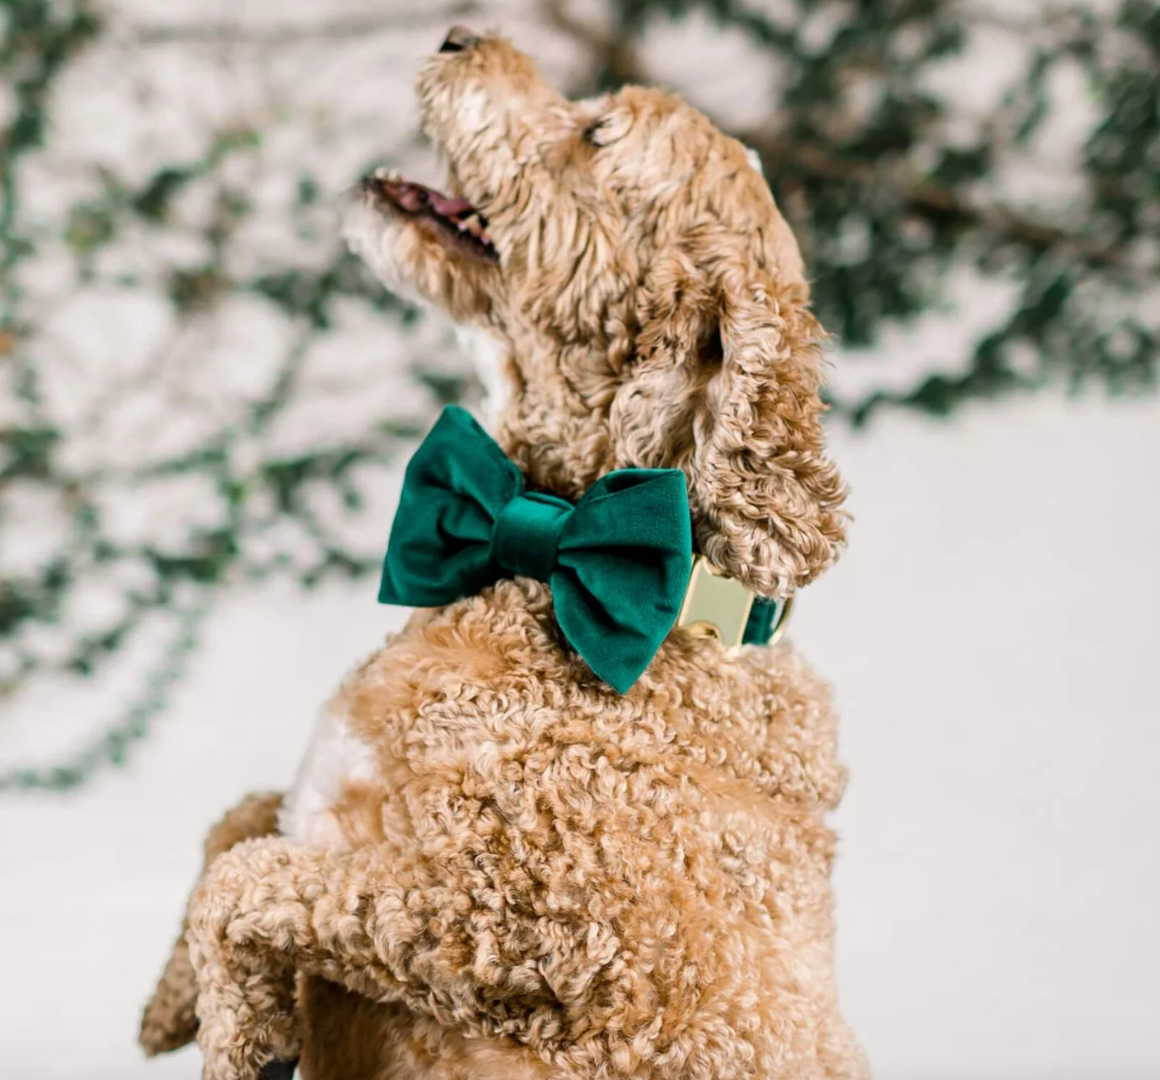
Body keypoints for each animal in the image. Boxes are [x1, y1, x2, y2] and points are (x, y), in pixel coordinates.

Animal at [138, 23, 863, 1080]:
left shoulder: (516, 929)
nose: (459, 33)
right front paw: (173, 1002)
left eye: (598, 133)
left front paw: (243, 1036)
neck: (564, 558)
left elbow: (243, 876)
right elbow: (236, 820)